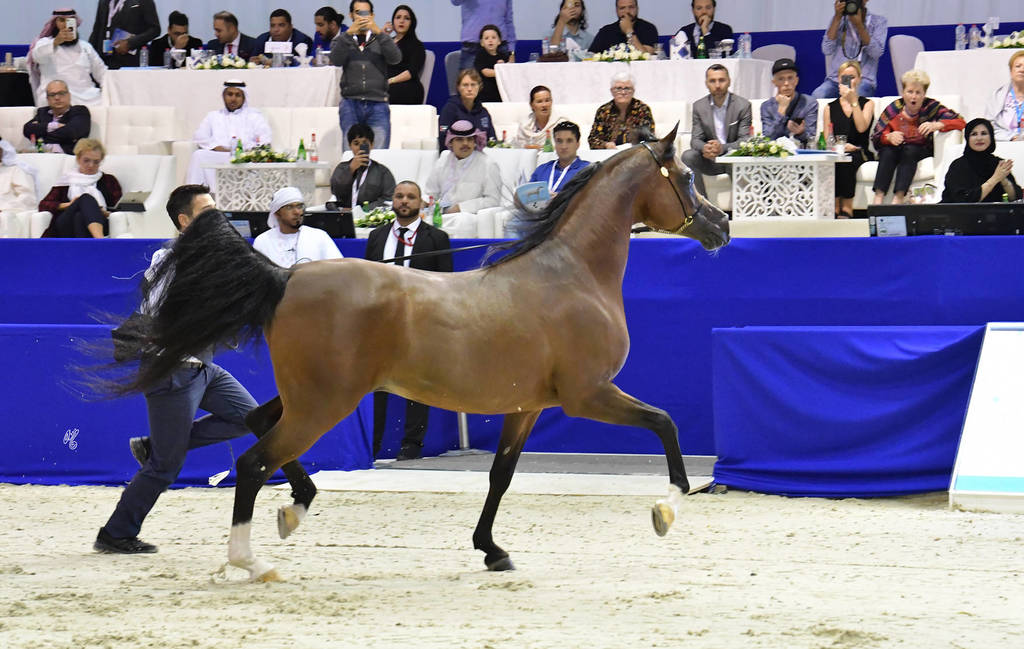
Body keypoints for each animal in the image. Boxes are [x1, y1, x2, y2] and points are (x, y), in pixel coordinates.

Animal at [122, 125, 730, 581]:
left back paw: (294, 507)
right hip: (325, 403)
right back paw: (251, 560)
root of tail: (286, 276)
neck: (571, 276)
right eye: (684, 177)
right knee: (254, 461)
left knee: (255, 423)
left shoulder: (527, 407)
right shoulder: (588, 395)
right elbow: (665, 423)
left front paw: (492, 550)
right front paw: (667, 508)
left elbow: (501, 475)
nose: (721, 225)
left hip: (310, 397)